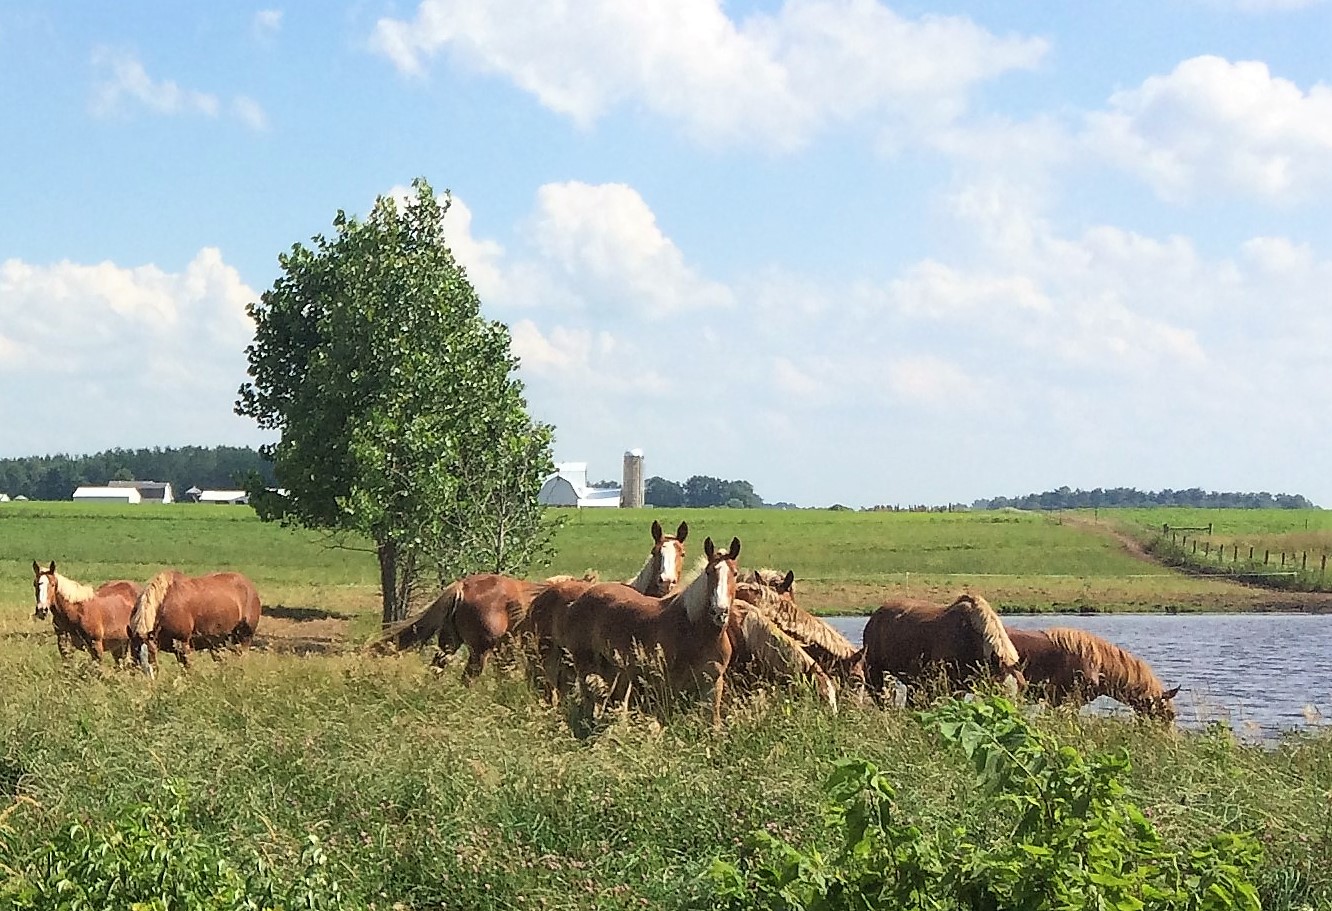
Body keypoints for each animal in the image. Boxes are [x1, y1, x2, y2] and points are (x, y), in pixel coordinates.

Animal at [127, 570, 263, 677]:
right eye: (136, 653)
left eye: (151, 652)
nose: (150, 680)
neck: (165, 604)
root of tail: (249, 585)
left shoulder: (183, 644)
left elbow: (188, 668)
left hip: (245, 636)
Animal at [372, 519, 689, 684]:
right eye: (656, 551)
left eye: (681, 553)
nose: (666, 581)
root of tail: (463, 585)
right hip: (479, 651)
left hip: (450, 643)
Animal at [550, 536, 741, 729]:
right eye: (709, 572)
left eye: (735, 573)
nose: (719, 612)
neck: (694, 628)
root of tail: (576, 601)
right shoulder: (668, 684)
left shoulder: (713, 683)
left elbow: (714, 722)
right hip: (585, 664)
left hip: (613, 669)